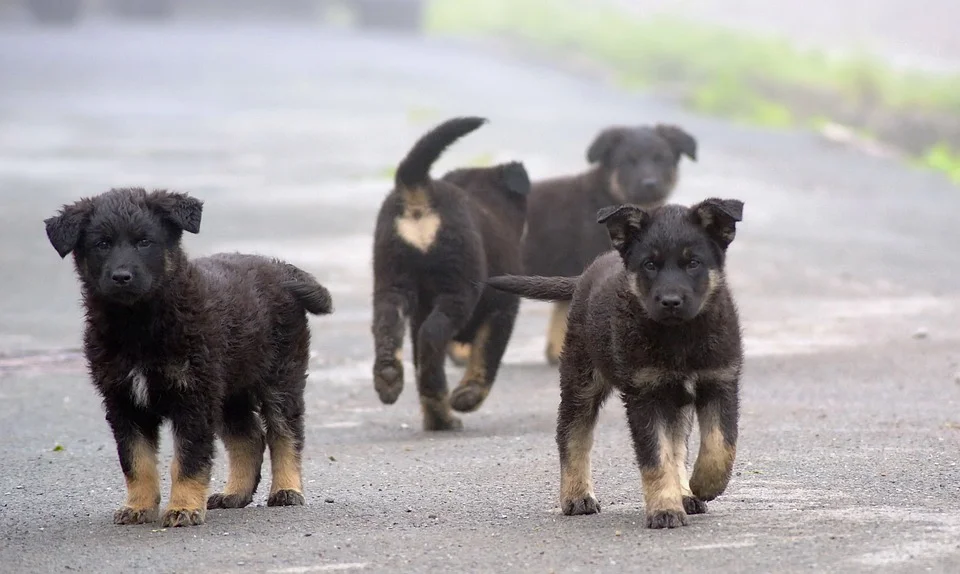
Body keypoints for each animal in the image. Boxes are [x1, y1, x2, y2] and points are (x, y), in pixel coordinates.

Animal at [44, 189, 334, 532]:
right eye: (101, 244)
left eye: (145, 242)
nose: (121, 277)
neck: (139, 324)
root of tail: (281, 270)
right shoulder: (123, 402)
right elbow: (136, 461)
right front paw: (138, 506)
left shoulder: (192, 397)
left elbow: (188, 459)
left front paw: (183, 508)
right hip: (229, 390)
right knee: (249, 438)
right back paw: (235, 493)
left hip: (280, 377)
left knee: (285, 433)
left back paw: (287, 489)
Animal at [370, 116, 532, 432]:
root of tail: (419, 189)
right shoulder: (504, 309)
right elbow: (486, 357)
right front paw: (468, 396)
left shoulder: (418, 312)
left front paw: (435, 417)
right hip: (458, 288)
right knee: (433, 336)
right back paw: (443, 404)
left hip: (391, 280)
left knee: (389, 326)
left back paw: (391, 378)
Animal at [488, 198, 744, 532]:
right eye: (650, 264)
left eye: (693, 263)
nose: (670, 301)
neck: (679, 337)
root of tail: (585, 275)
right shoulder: (644, 394)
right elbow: (655, 457)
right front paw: (665, 509)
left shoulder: (720, 382)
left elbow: (720, 444)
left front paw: (701, 485)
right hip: (581, 379)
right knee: (572, 434)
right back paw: (577, 496)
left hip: (673, 401)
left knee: (677, 445)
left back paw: (685, 493)